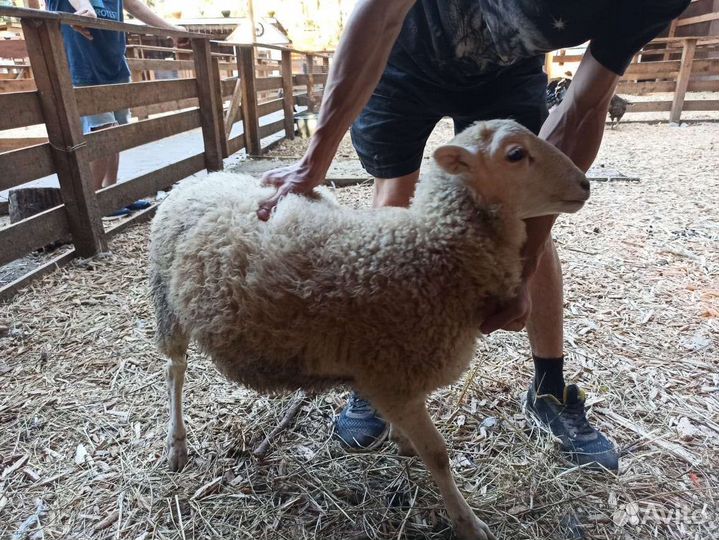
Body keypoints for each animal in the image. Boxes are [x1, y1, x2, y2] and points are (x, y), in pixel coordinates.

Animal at [149, 119, 590, 540]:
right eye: (515, 155)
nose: (584, 184)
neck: (432, 248)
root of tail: (199, 178)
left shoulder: (393, 376)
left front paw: (402, 441)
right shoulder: (394, 379)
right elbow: (438, 455)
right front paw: (467, 522)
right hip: (167, 305)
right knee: (174, 371)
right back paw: (176, 444)